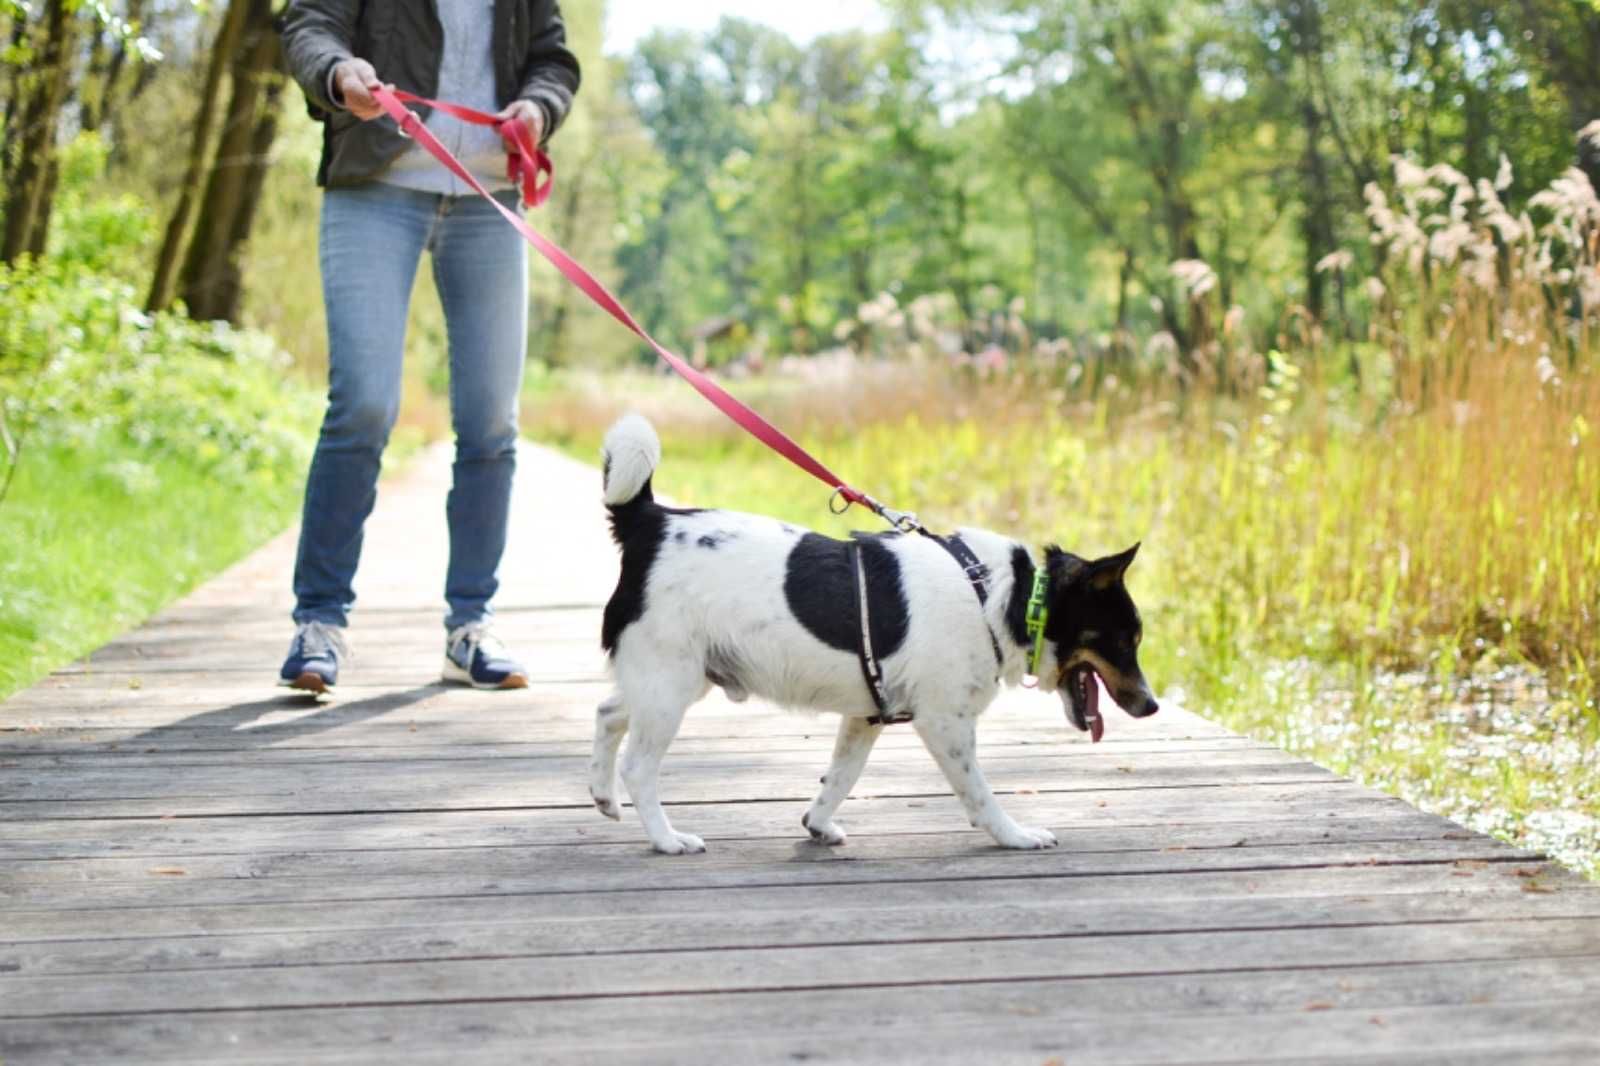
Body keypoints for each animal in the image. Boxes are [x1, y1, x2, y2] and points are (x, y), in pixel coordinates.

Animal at [585, 409, 1152, 851]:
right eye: (1124, 640)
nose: (1151, 706)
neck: (1003, 595)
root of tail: (650, 521)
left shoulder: (864, 717)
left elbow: (840, 776)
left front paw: (818, 824)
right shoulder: (945, 723)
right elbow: (979, 792)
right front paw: (1014, 835)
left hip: (669, 678)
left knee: (609, 713)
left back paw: (603, 796)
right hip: (670, 684)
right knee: (638, 764)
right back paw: (666, 838)